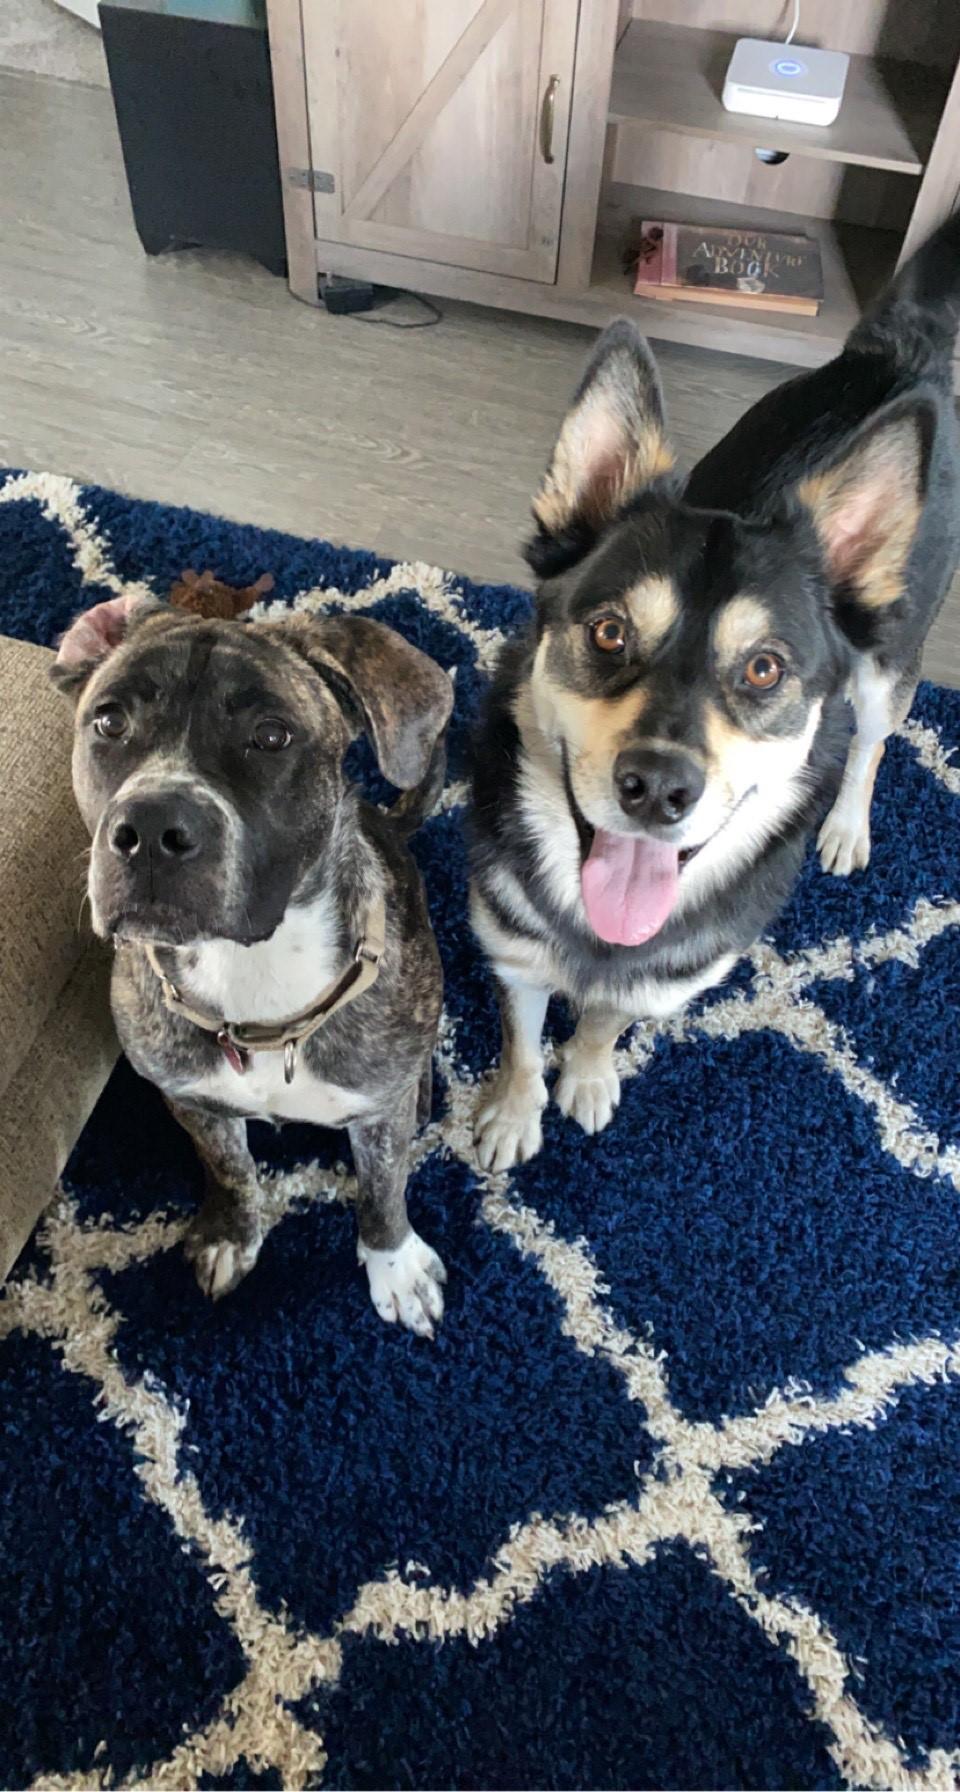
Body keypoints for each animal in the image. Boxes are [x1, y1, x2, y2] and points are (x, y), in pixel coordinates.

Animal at [56, 594, 453, 1340]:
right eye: (109, 721)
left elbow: (383, 1187)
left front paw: (394, 1263)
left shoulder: (378, 1118)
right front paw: (231, 1234)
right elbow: (232, 1167)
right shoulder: (191, 1099)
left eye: (271, 736)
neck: (251, 973)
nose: (148, 829)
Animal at [469, 209, 960, 1175]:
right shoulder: (510, 947)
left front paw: (586, 1075)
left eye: (764, 668)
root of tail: (900, 356)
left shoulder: (666, 979)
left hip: (888, 658)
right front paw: (513, 1109)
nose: (657, 788)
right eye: (608, 631)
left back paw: (847, 824)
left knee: (873, 737)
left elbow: (606, 1020)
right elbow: (520, 1036)